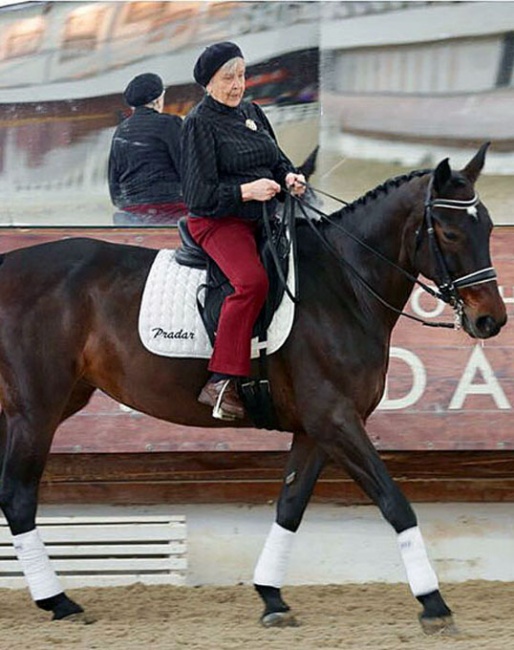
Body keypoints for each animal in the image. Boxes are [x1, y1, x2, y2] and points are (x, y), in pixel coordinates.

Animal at [0, 142, 504, 628]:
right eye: (450, 233)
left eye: (488, 228)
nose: (491, 320)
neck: (343, 287)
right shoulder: (336, 419)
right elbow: (395, 503)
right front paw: (434, 604)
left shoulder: (316, 429)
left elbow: (290, 506)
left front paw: (271, 596)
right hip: (36, 411)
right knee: (18, 497)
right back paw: (59, 601)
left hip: (51, 402)